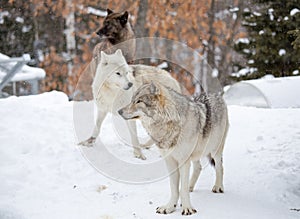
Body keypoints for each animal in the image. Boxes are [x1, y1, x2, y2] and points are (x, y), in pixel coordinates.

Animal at [118, 82, 229, 216]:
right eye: (132, 100)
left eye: (139, 101)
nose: (119, 111)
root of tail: (215, 94)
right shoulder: (170, 161)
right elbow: (174, 187)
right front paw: (170, 207)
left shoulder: (183, 161)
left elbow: (182, 188)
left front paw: (187, 208)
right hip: (195, 155)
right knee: (198, 168)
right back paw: (191, 187)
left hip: (214, 150)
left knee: (220, 166)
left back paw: (218, 187)